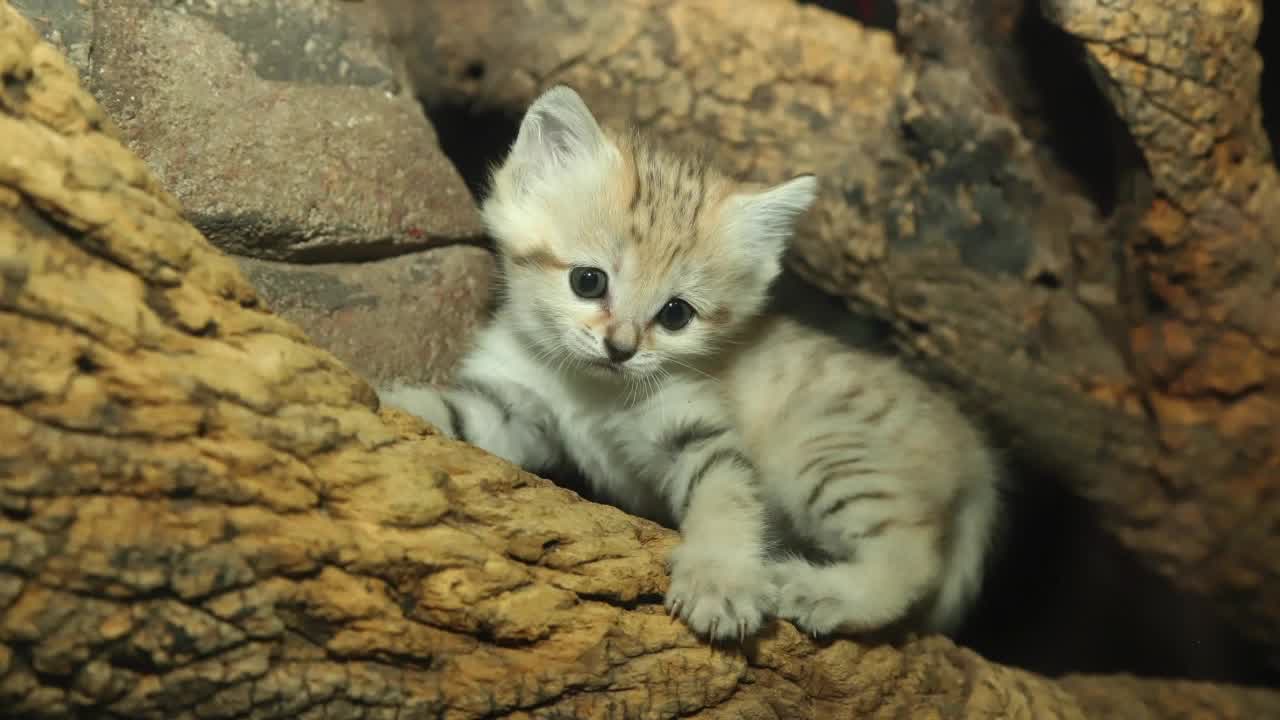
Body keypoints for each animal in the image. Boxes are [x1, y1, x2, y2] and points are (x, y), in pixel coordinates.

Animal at [378, 83, 998, 638]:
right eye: (588, 281)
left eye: (676, 314)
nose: (621, 348)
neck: (592, 392)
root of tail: (974, 451)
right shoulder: (514, 409)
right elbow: (450, 414)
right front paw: (385, 403)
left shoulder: (697, 429)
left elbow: (724, 498)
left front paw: (720, 580)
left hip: (826, 453)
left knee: (913, 555)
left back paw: (823, 591)